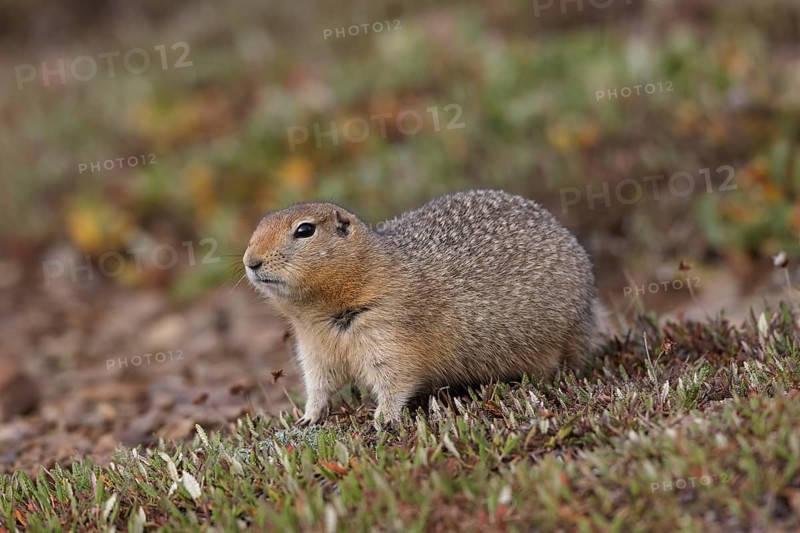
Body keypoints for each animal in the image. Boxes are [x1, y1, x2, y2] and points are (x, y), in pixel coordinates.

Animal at [244, 190, 607, 424]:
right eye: (257, 227)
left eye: (304, 230)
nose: (250, 261)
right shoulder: (314, 346)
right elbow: (318, 383)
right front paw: (308, 417)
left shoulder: (388, 332)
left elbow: (394, 376)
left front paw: (384, 417)